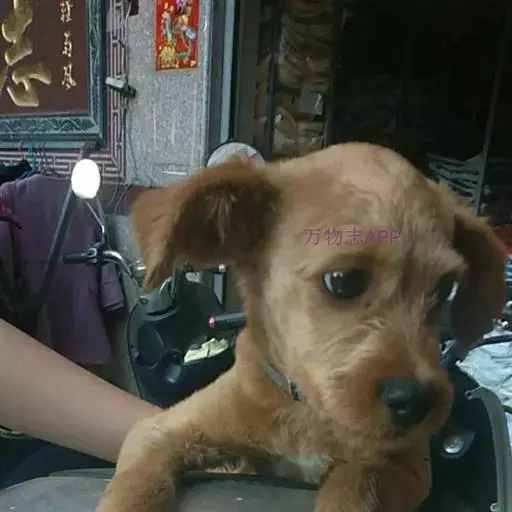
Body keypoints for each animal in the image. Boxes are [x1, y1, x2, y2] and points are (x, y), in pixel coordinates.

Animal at [95, 142, 507, 512]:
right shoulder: (158, 432)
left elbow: (355, 483)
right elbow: (134, 485)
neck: (307, 413)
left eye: (444, 289)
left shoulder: (408, 464)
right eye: (342, 280)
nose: (419, 401)